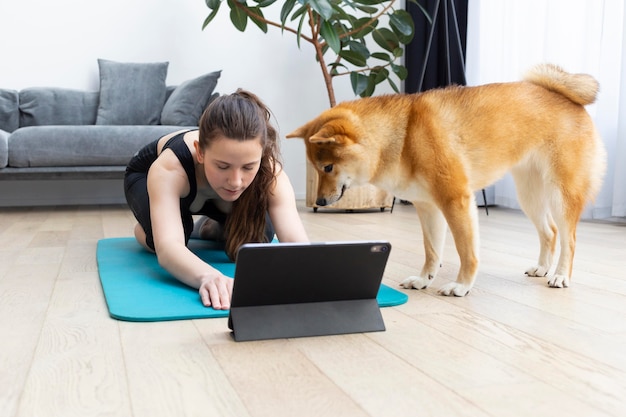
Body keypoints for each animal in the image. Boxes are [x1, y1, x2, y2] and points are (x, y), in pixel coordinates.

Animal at [286, 62, 604, 296]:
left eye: (328, 167)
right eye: (316, 168)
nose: (319, 201)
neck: (403, 137)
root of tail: (566, 98)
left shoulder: (455, 200)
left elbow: (466, 252)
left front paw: (461, 285)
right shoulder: (427, 206)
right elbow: (432, 250)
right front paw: (424, 280)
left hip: (561, 195)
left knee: (569, 239)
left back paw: (560, 276)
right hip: (529, 196)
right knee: (550, 232)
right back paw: (541, 269)